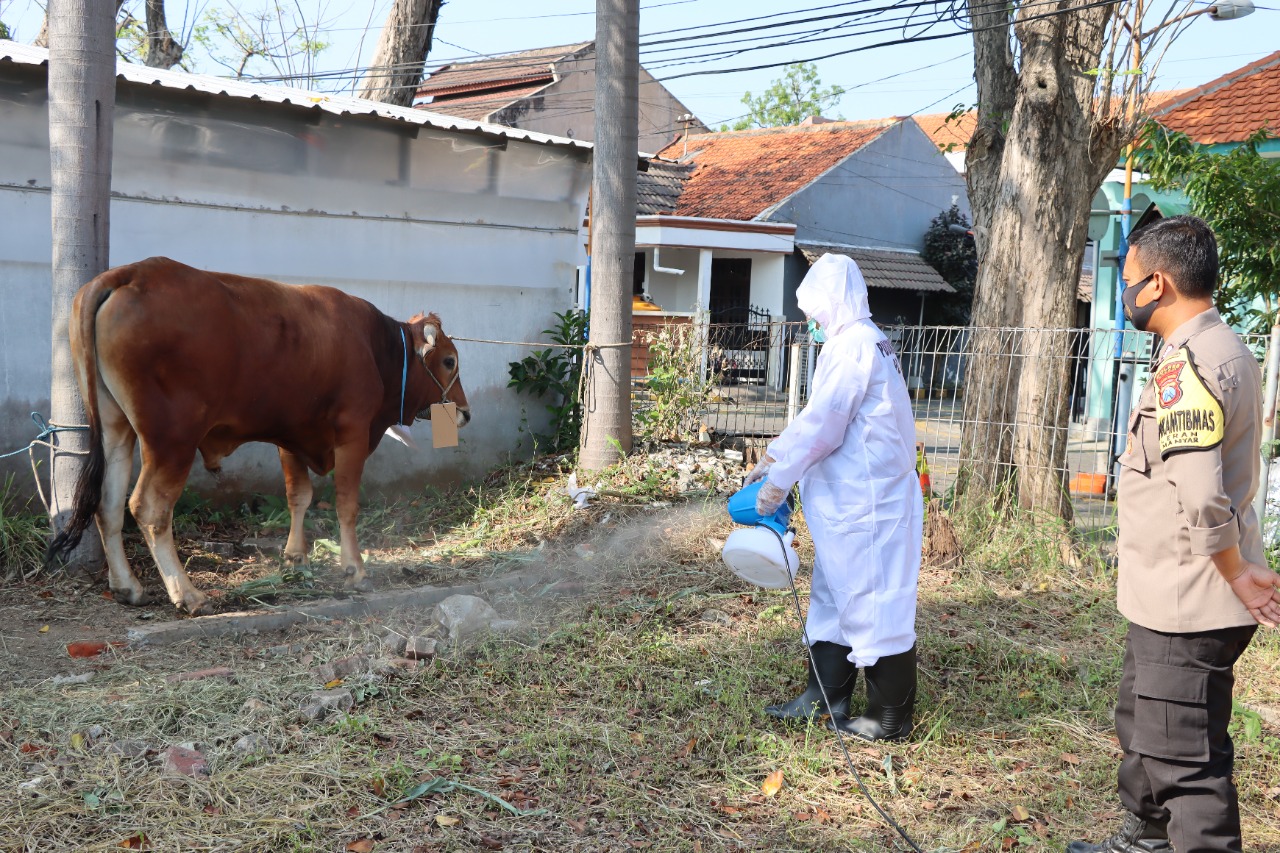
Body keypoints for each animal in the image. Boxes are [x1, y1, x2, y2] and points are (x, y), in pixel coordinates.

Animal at [49, 253, 473, 612]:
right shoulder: (352, 432)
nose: (466, 413)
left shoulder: (293, 436)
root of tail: (129, 274)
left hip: (116, 428)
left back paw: (128, 587)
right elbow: (346, 504)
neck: (375, 347)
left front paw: (295, 556)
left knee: (107, 504)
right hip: (173, 440)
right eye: (449, 361)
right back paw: (187, 593)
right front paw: (354, 568)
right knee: (149, 508)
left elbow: (298, 496)